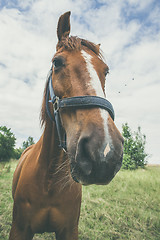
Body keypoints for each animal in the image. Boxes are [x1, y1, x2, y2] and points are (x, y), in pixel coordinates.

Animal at [9, 11, 124, 240]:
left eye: (106, 71)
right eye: (57, 62)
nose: (105, 151)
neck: (50, 180)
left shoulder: (69, 230)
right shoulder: (18, 229)